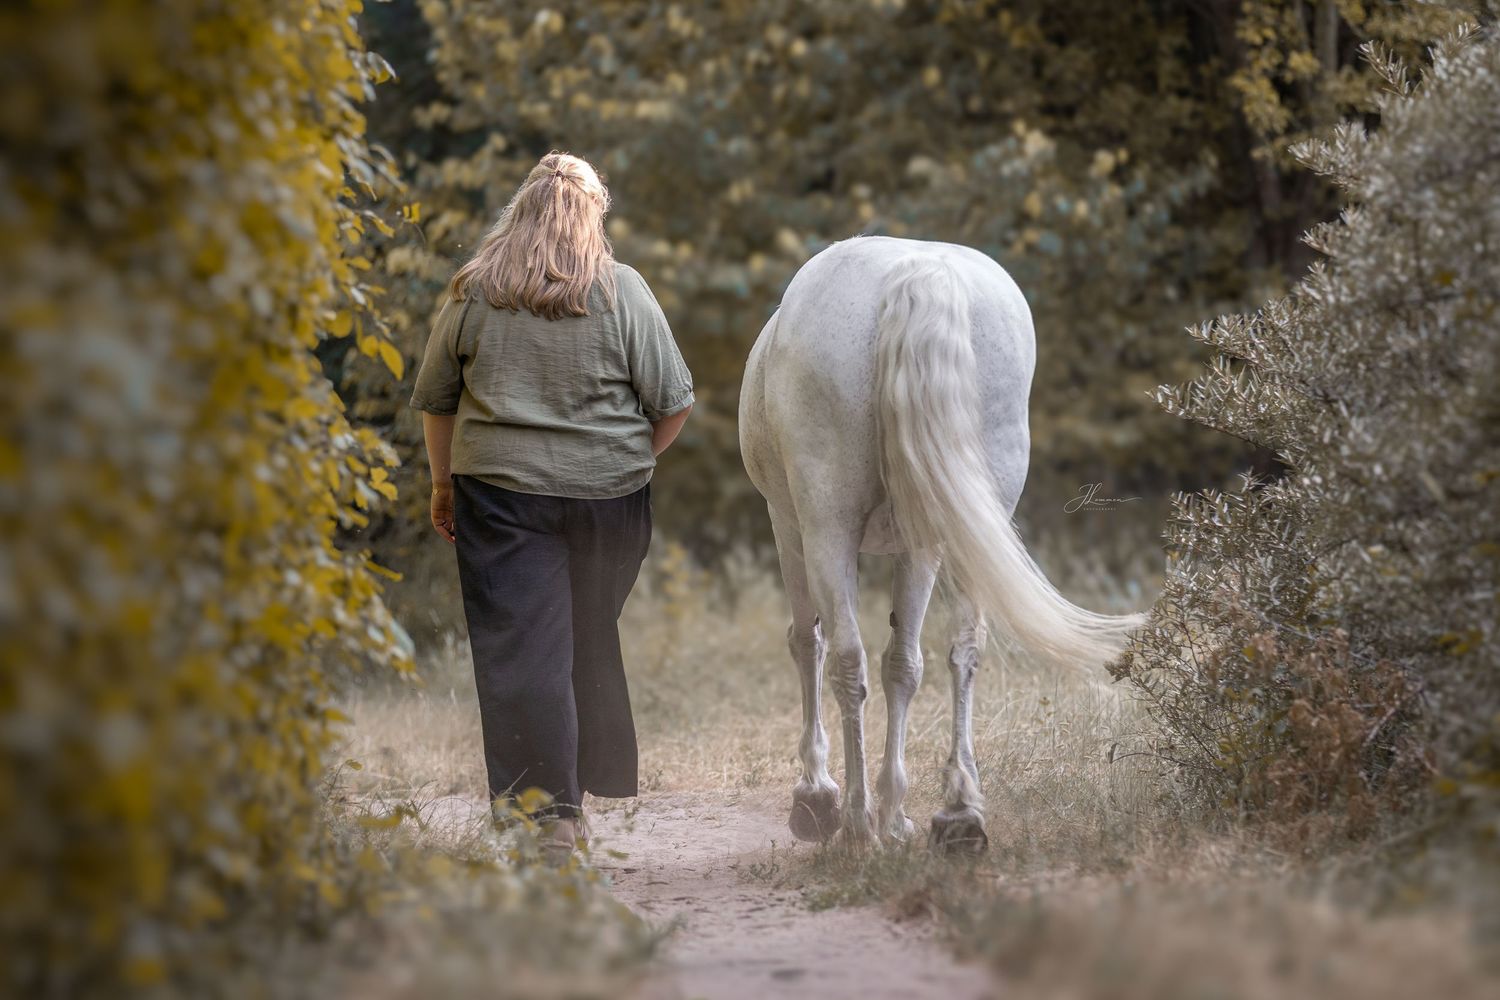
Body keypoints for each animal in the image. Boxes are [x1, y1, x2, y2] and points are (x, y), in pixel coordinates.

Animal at [738, 235, 1143, 852]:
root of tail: (920, 271)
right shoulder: (917, 545)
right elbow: (904, 664)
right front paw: (897, 814)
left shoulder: (787, 524)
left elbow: (808, 644)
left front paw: (817, 796)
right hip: (962, 528)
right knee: (957, 649)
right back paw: (957, 814)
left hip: (826, 527)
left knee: (846, 659)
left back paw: (856, 823)